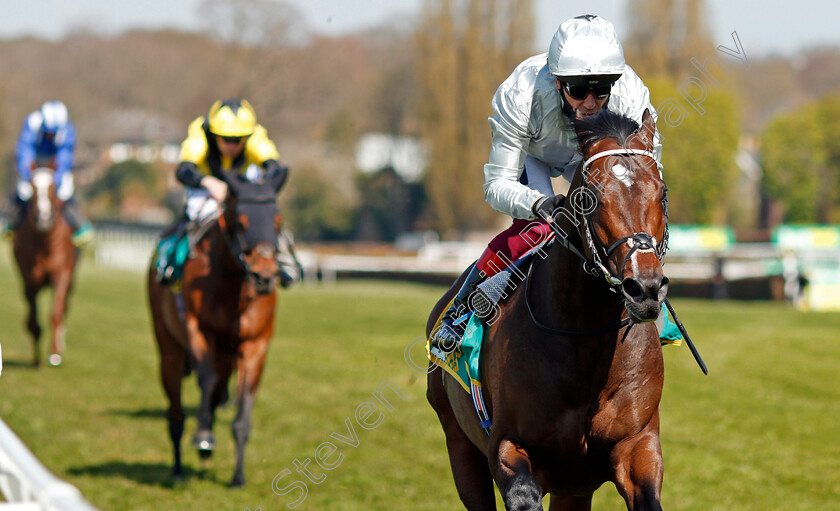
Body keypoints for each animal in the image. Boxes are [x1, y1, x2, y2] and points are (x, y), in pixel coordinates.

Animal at [12, 168, 79, 368]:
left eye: (53, 189)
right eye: (32, 189)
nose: (43, 219)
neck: (44, 243)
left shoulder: (61, 275)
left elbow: (56, 313)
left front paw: (54, 354)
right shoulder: (30, 279)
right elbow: (33, 319)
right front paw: (36, 356)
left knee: (64, 309)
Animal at [148, 171, 286, 488]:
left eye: (277, 221)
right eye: (241, 221)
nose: (264, 276)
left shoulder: (255, 344)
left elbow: (242, 407)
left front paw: (238, 476)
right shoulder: (199, 330)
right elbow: (206, 380)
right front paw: (203, 437)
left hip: (227, 356)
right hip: (169, 349)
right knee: (176, 413)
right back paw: (178, 468)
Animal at [426, 110, 668, 510]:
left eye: (662, 193)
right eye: (591, 198)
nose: (645, 288)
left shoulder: (635, 444)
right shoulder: (509, 445)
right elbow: (523, 493)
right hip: (458, 442)